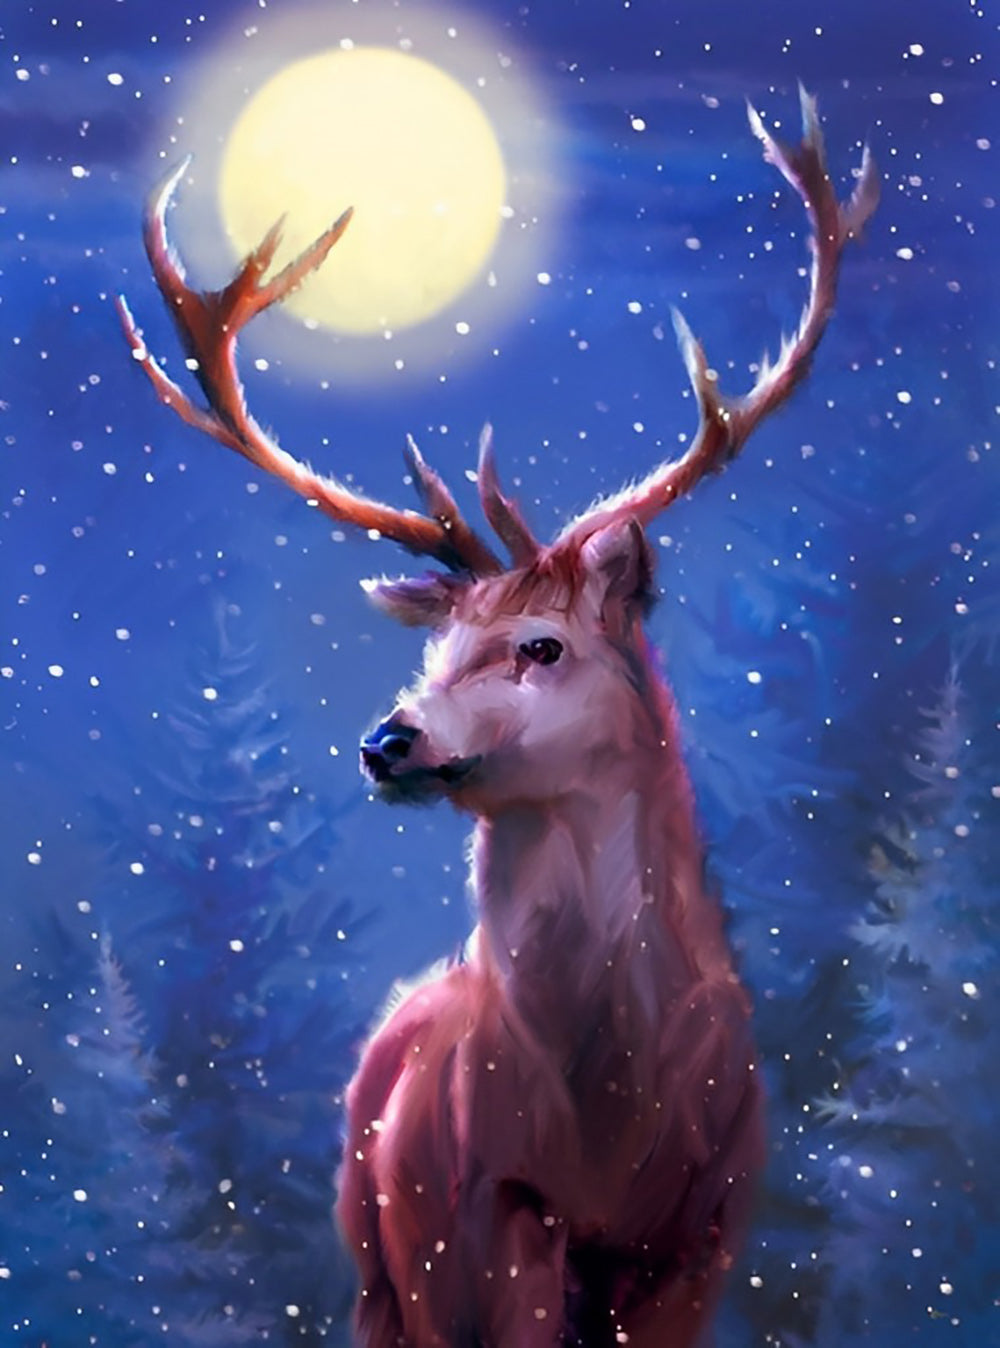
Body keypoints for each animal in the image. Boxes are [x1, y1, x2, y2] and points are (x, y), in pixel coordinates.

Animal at [117, 88, 877, 1347]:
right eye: (430, 652)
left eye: (541, 645)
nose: (388, 740)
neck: (611, 1120)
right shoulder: (485, 1215)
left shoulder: (709, 1222)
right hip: (376, 1255)